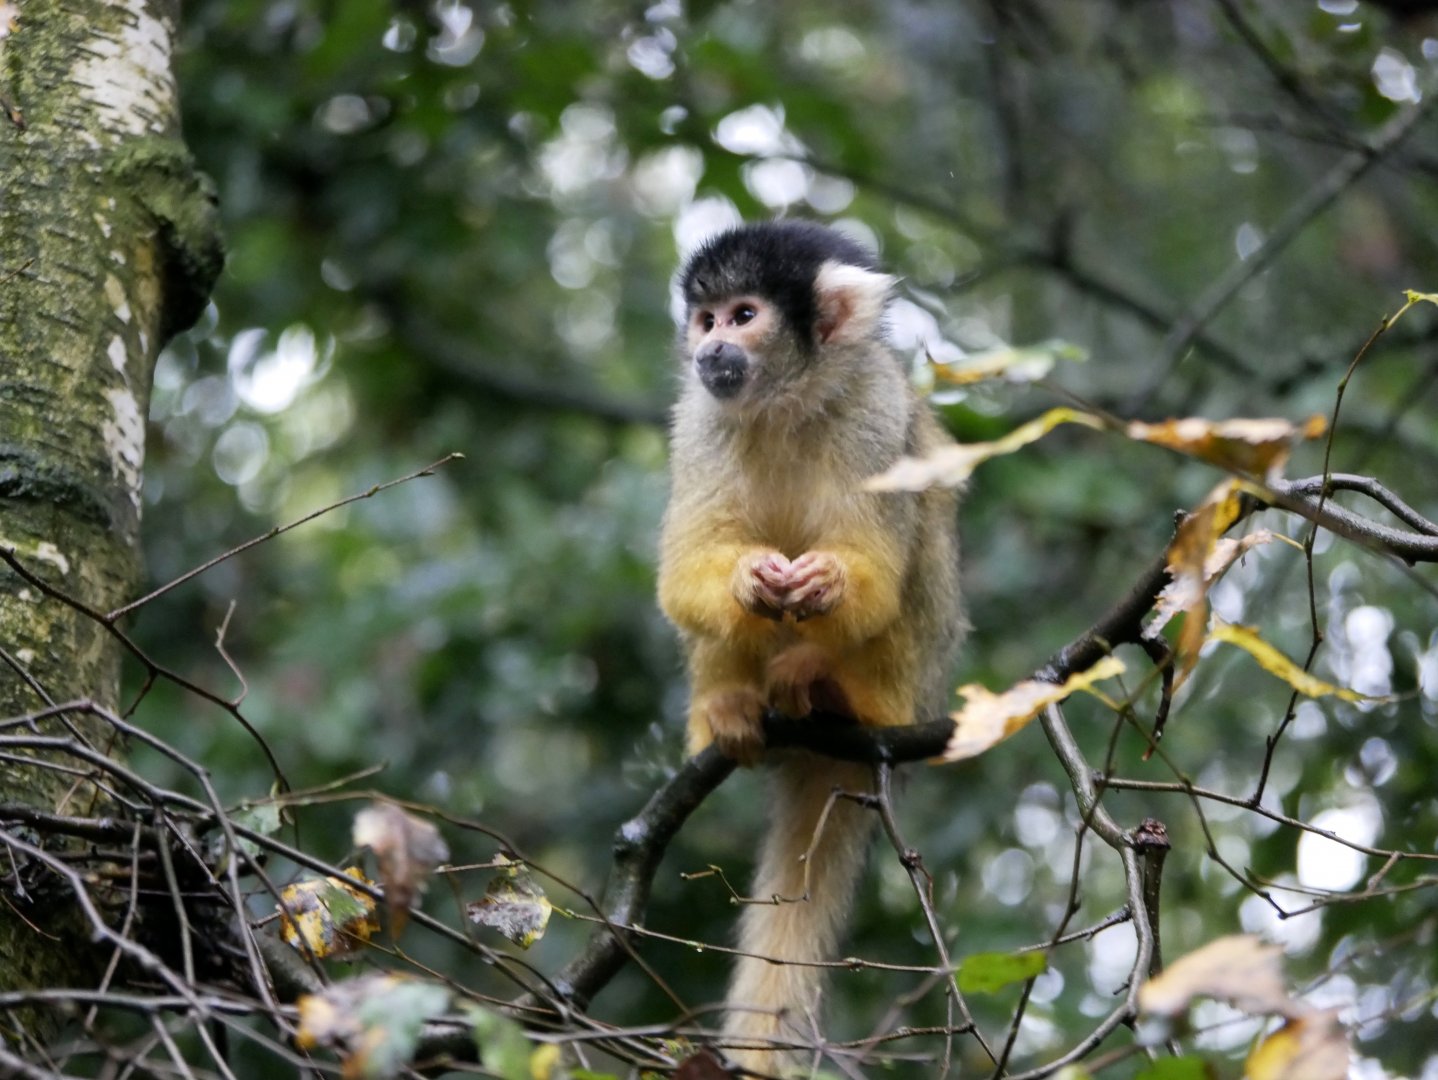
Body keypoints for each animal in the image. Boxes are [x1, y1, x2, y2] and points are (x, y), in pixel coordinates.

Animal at [657, 220, 964, 1075]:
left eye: (745, 315)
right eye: (707, 319)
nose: (709, 347)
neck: (783, 402)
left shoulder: (874, 409)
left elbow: (879, 572)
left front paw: (827, 588)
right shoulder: (698, 417)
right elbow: (685, 573)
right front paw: (744, 582)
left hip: (915, 682)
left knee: (922, 539)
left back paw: (832, 689)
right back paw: (726, 703)